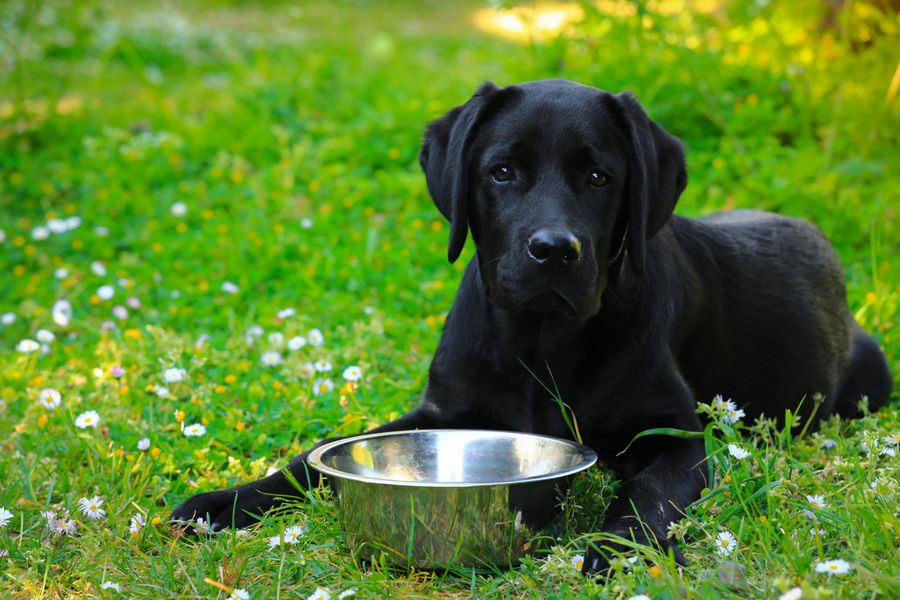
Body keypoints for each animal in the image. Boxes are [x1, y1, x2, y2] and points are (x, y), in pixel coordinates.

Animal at [171, 78, 892, 572]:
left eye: (599, 176)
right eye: (502, 171)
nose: (554, 250)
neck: (537, 345)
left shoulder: (678, 438)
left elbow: (649, 492)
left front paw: (616, 547)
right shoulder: (440, 412)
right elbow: (311, 459)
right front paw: (221, 504)